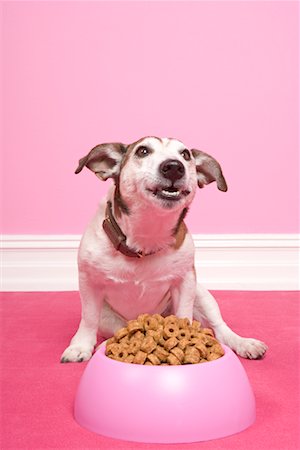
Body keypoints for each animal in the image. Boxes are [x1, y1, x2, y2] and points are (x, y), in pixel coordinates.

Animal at [61, 134, 268, 362]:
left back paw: (242, 342)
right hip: (108, 318)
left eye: (185, 155)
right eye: (142, 151)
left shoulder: (185, 283)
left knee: (220, 328)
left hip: (202, 295)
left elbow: (185, 315)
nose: (174, 167)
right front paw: (80, 346)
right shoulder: (89, 283)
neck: (147, 234)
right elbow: (88, 318)